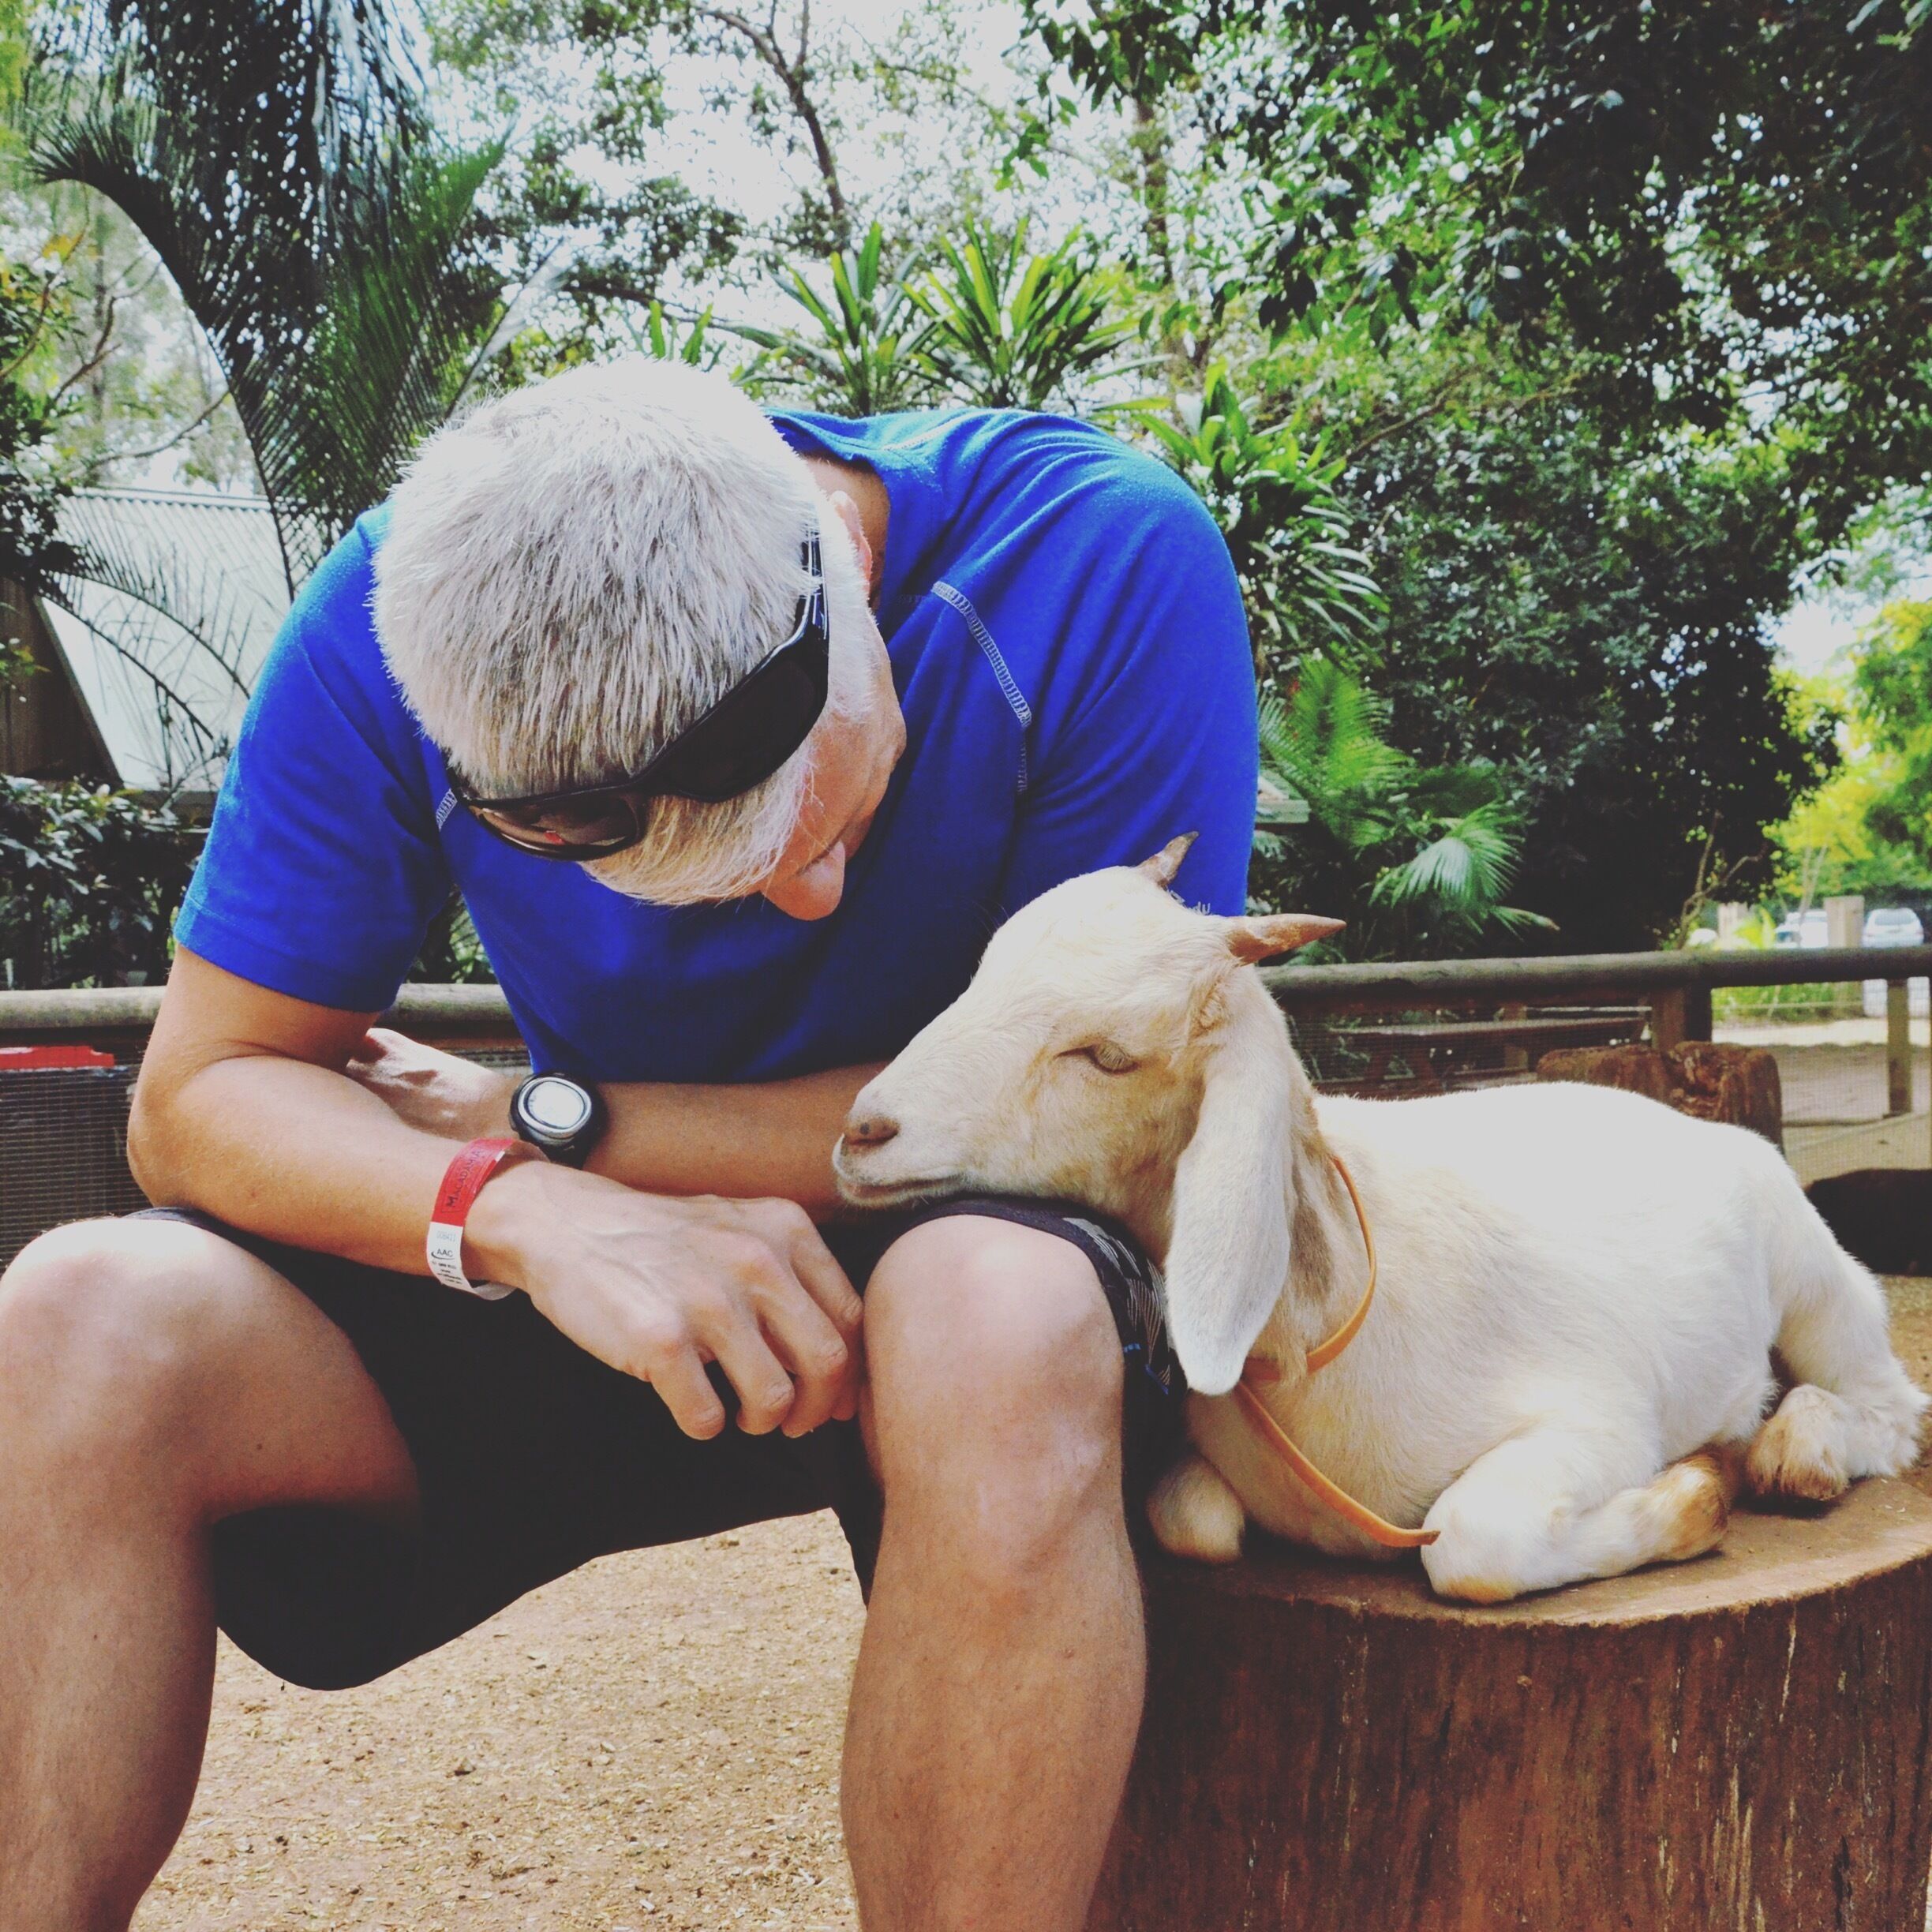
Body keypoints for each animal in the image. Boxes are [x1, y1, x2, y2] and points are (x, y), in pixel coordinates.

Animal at [833, 839, 1929, 1602]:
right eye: (982, 971)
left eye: (1106, 1055)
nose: (864, 1132)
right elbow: (1192, 1520)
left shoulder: (1599, 1418)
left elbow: (1475, 1545)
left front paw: (1694, 1497)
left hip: (1814, 1277)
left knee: (1891, 1404)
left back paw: (1795, 1452)